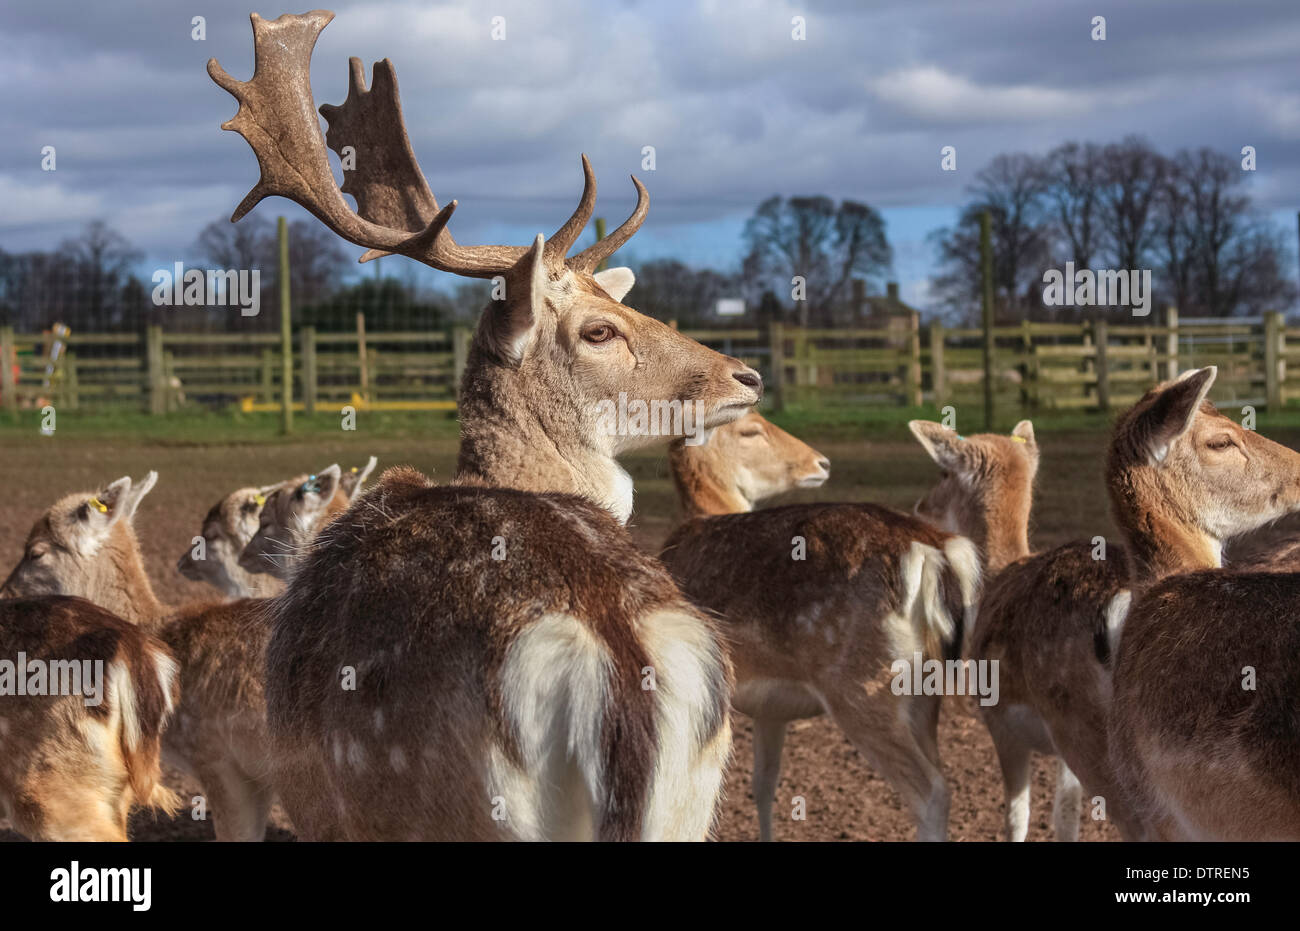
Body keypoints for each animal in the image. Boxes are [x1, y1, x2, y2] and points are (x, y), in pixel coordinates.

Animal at [210, 10, 759, 842]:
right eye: (602, 328)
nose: (747, 376)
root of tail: (616, 646)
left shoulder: (320, 808)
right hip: (690, 800)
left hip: (464, 803)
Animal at [660, 418, 977, 842]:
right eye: (750, 430)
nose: (820, 462)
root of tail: (938, 550)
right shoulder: (769, 708)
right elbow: (763, 783)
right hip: (926, 693)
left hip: (862, 686)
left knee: (933, 792)